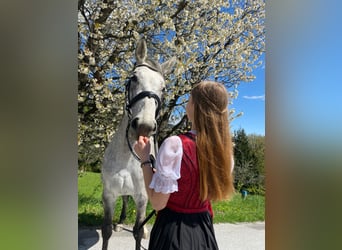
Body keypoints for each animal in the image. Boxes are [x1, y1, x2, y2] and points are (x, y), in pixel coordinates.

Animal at [101, 39, 176, 250]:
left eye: (164, 88)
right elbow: (106, 231)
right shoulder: (108, 195)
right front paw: (115, 225)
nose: (144, 126)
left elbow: (137, 231)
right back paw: (120, 222)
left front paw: (143, 232)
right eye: (134, 78)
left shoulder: (142, 198)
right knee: (126, 200)